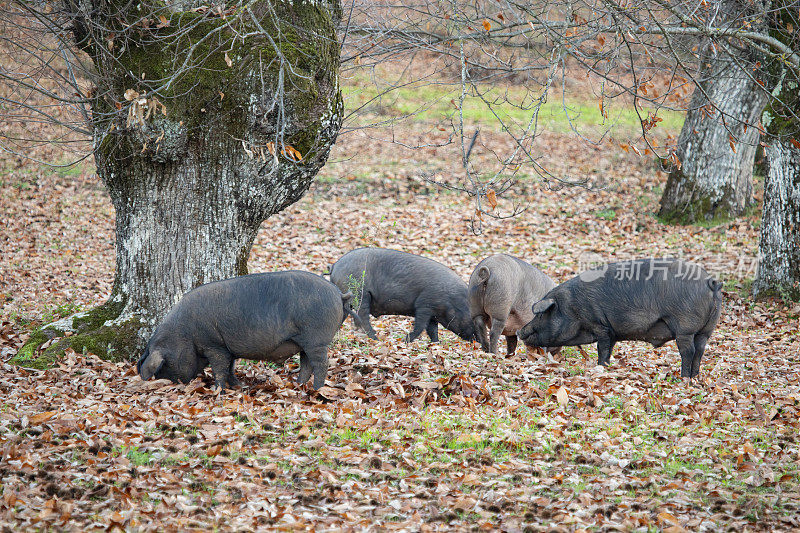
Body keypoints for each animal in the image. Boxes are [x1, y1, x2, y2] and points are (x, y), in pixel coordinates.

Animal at [138, 272, 360, 388]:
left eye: (164, 365)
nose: (171, 386)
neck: (185, 332)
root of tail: (339, 294)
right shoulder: (226, 347)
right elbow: (230, 367)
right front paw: (236, 386)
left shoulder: (214, 345)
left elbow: (219, 368)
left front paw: (219, 390)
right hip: (305, 341)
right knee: (306, 364)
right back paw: (298, 386)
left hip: (316, 339)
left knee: (321, 364)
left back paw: (316, 389)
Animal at [330, 248, 476, 342]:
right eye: (471, 315)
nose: (477, 340)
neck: (451, 299)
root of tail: (334, 266)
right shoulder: (424, 305)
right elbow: (420, 326)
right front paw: (406, 340)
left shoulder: (432, 313)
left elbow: (432, 330)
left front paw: (436, 343)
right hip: (361, 294)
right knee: (363, 317)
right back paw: (376, 339)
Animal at [520, 258, 724, 378]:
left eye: (541, 313)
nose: (520, 331)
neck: (572, 307)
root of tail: (711, 282)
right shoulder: (610, 332)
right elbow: (608, 350)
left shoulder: (600, 326)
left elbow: (602, 349)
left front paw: (600, 367)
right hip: (706, 330)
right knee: (700, 350)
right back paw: (695, 377)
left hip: (685, 326)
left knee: (688, 351)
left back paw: (683, 377)